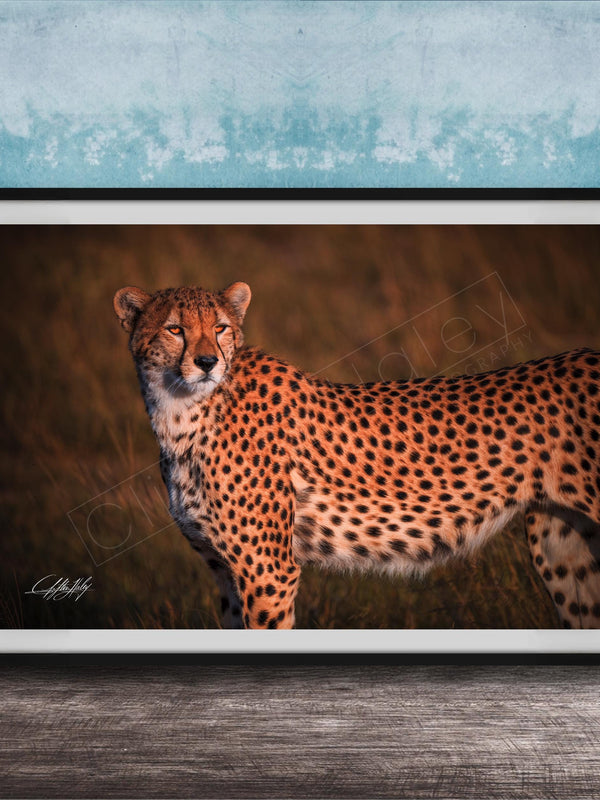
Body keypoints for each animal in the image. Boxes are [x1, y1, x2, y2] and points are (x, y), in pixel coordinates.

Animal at [114, 281, 600, 630]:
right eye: (175, 329)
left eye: (220, 328)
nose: (207, 362)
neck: (179, 412)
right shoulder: (226, 572)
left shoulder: (268, 572)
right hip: (564, 548)